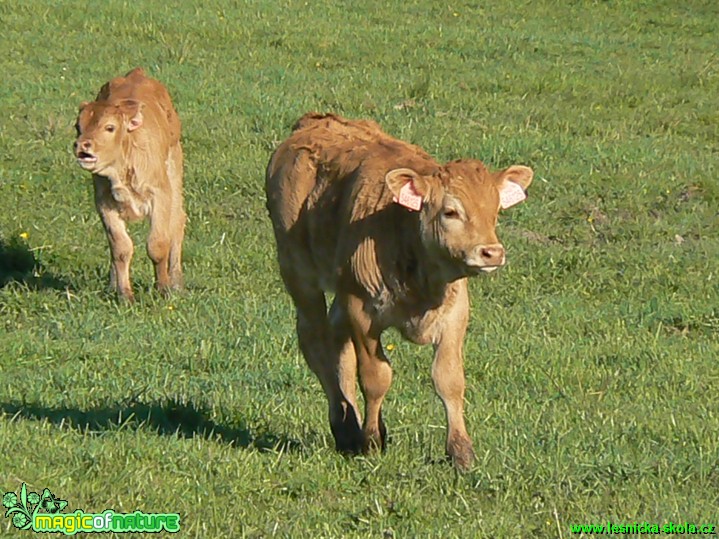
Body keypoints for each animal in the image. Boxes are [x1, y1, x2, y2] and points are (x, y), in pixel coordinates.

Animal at [73, 67, 184, 302]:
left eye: (110, 127)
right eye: (78, 126)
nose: (82, 145)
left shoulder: (161, 195)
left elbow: (158, 244)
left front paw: (164, 288)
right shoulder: (104, 203)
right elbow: (120, 248)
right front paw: (124, 294)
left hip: (174, 170)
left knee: (177, 221)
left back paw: (177, 282)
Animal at [266, 113, 536, 468]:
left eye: (494, 212)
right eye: (451, 211)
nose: (491, 252)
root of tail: (315, 122)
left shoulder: (455, 312)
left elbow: (449, 378)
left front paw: (461, 451)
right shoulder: (361, 310)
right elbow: (376, 377)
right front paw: (370, 441)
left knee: (338, 346)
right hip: (299, 274)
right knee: (316, 342)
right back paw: (346, 428)